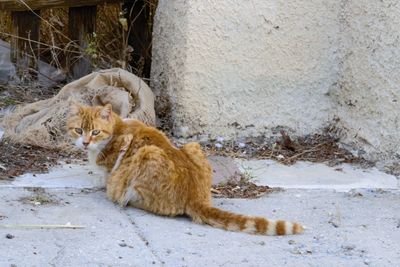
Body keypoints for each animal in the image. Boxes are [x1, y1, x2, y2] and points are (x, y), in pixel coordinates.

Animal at [67, 103, 304, 236]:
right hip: (193, 147)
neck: (116, 128)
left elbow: (109, 173)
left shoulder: (116, 159)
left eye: (95, 132)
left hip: (147, 154)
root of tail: (196, 196)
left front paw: (102, 181)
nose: (85, 143)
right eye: (78, 130)